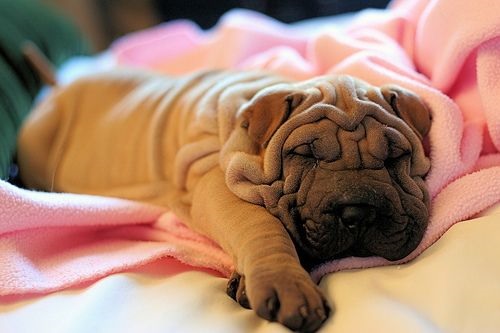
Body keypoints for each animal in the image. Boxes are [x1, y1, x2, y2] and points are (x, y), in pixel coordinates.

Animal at [15, 68, 430, 330]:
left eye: (395, 157)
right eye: (305, 155)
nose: (358, 212)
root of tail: (57, 85)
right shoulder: (212, 181)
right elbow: (262, 224)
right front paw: (286, 282)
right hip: (38, 136)